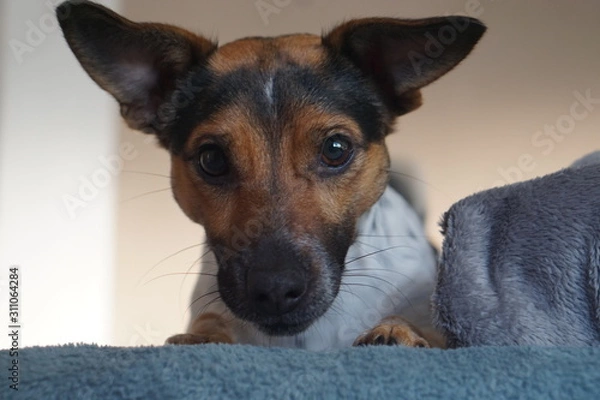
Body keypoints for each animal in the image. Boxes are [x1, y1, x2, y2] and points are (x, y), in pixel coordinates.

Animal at [58, 0, 486, 350]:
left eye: (335, 149)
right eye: (212, 159)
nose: (276, 289)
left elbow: (427, 329)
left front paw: (398, 331)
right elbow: (210, 324)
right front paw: (202, 337)